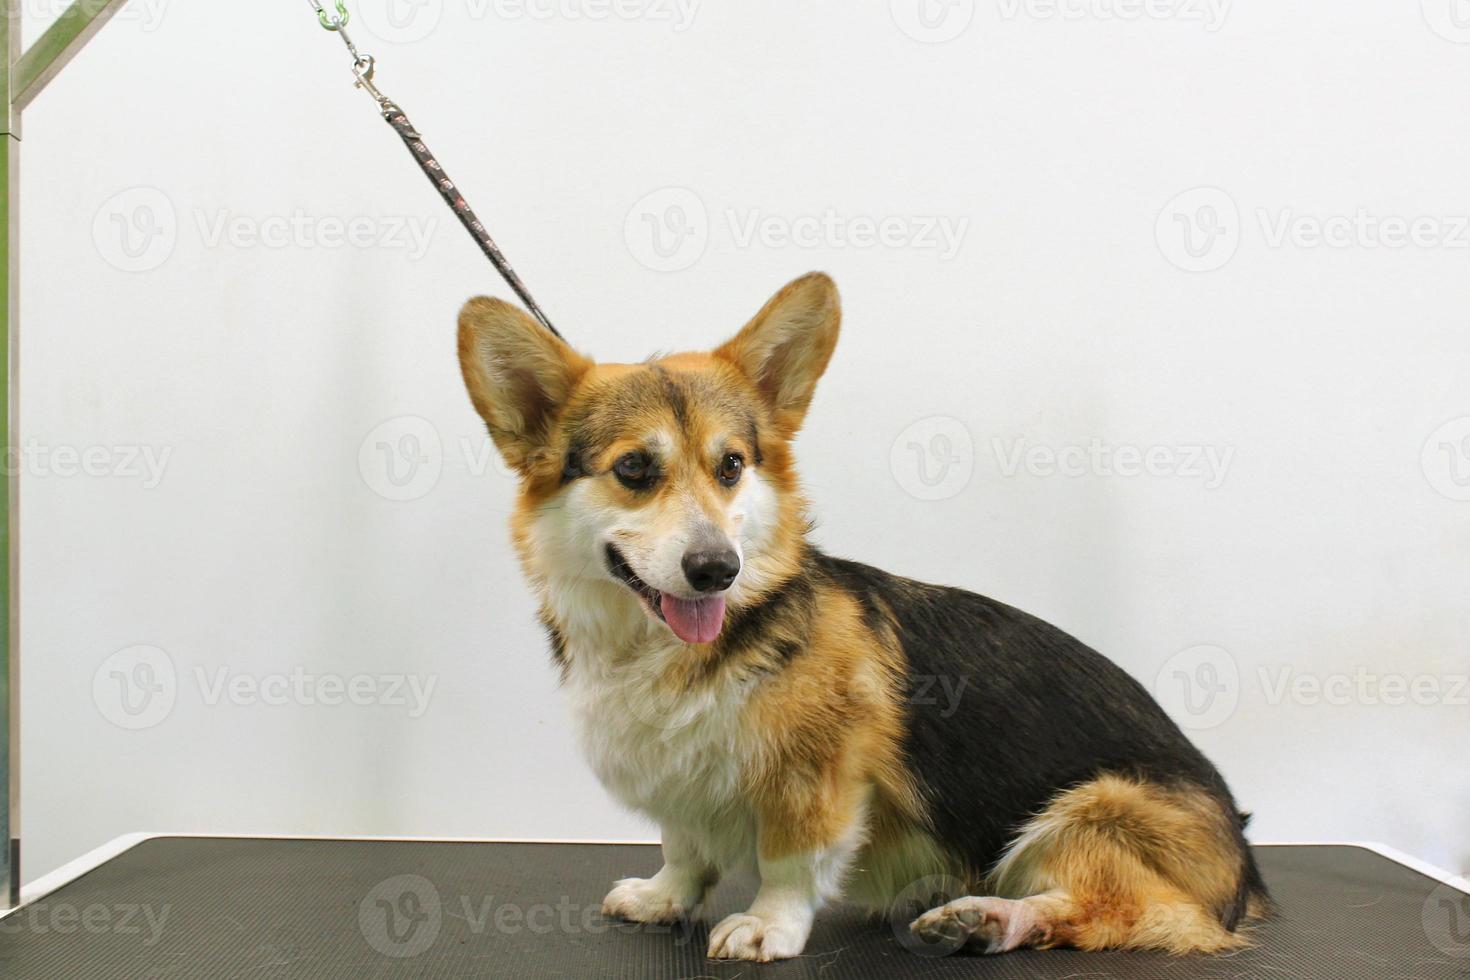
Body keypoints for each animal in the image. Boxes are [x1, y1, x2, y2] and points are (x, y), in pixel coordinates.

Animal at [455, 271, 1264, 963]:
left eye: (730, 466)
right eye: (634, 469)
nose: (718, 569)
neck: (665, 651)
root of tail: (1246, 871)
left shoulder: (815, 777)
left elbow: (789, 860)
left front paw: (768, 926)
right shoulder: (679, 786)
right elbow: (683, 848)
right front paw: (665, 897)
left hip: (1089, 812)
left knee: (1120, 911)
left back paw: (989, 918)